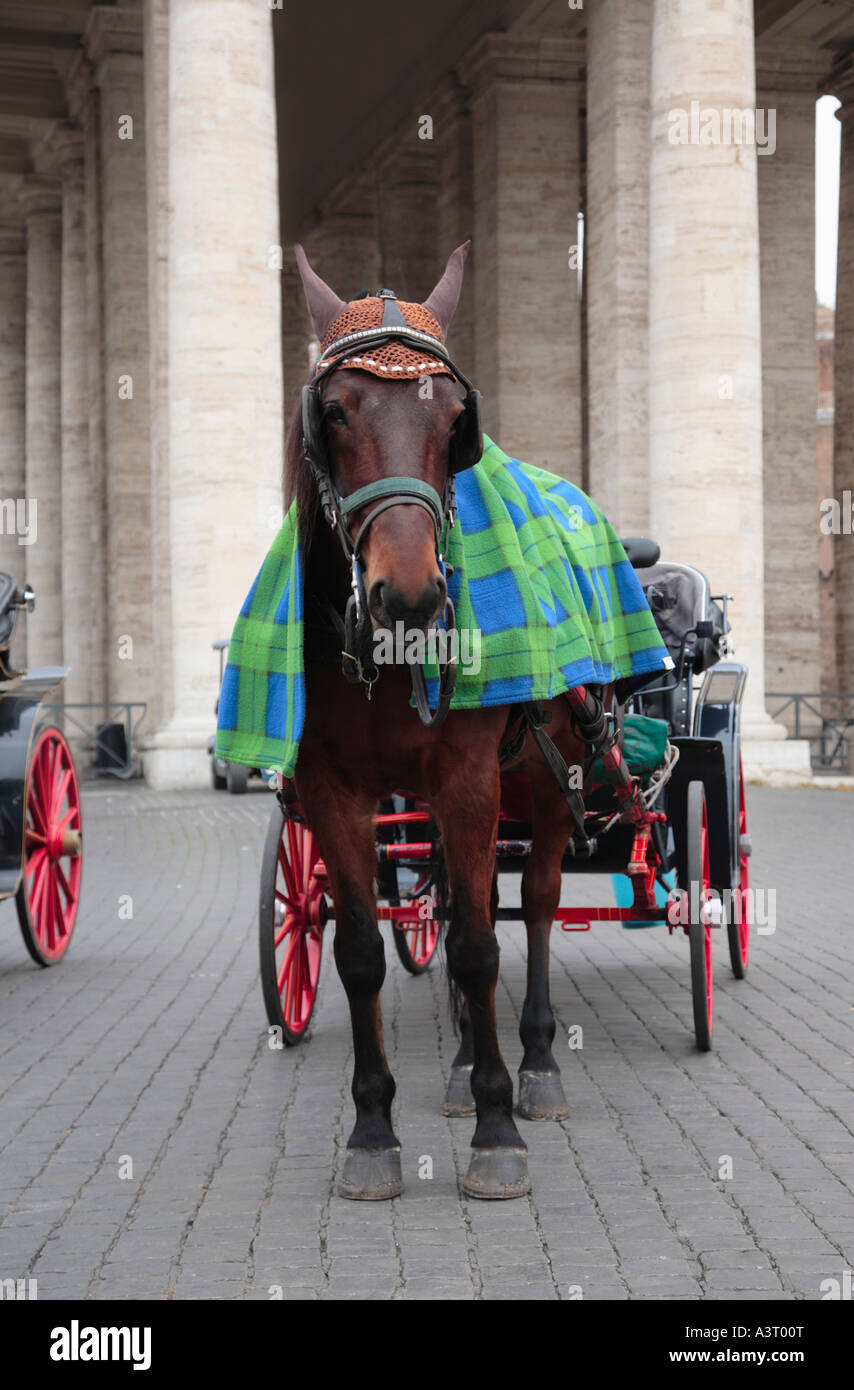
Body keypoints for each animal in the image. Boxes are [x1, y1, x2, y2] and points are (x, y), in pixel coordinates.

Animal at [287, 242, 606, 1201]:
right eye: (335, 410)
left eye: (458, 418)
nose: (412, 594)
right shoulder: (334, 791)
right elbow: (361, 950)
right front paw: (372, 1132)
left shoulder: (470, 780)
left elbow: (475, 944)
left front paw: (499, 1131)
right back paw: (467, 1059)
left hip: (544, 770)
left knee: (530, 903)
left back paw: (531, 1060)